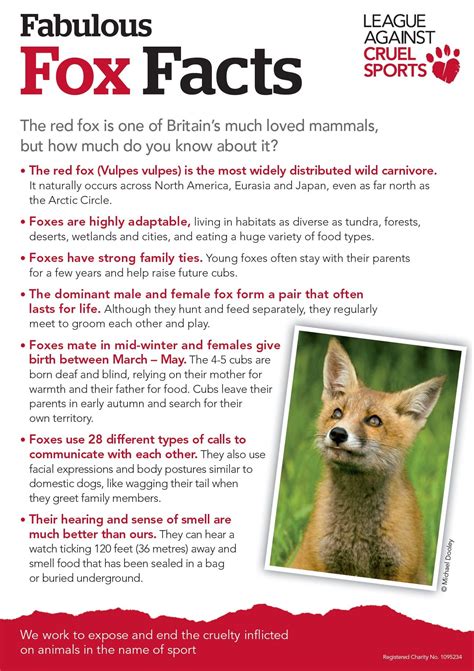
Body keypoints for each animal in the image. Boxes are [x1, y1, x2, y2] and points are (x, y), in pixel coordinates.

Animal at [291, 338, 445, 584]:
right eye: (337, 414)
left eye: (374, 421)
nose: (338, 434)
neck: (357, 537)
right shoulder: (324, 562)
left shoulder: (400, 569)